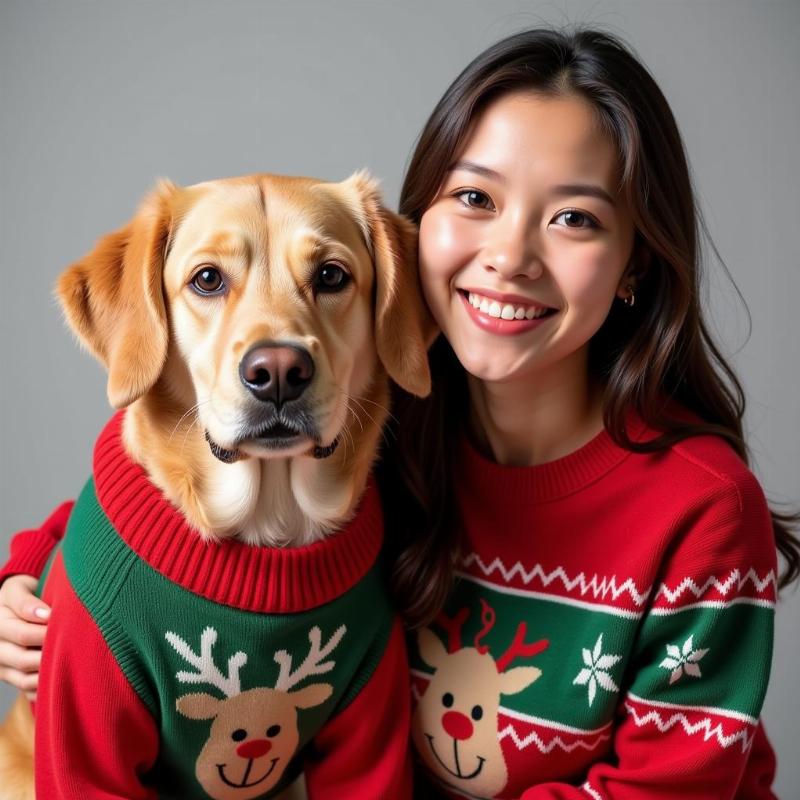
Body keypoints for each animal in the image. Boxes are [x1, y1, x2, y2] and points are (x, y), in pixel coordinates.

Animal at [0, 172, 434, 796]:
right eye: (207, 279)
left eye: (331, 275)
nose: (277, 372)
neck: (268, 528)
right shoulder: (84, 717)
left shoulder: (372, 717)